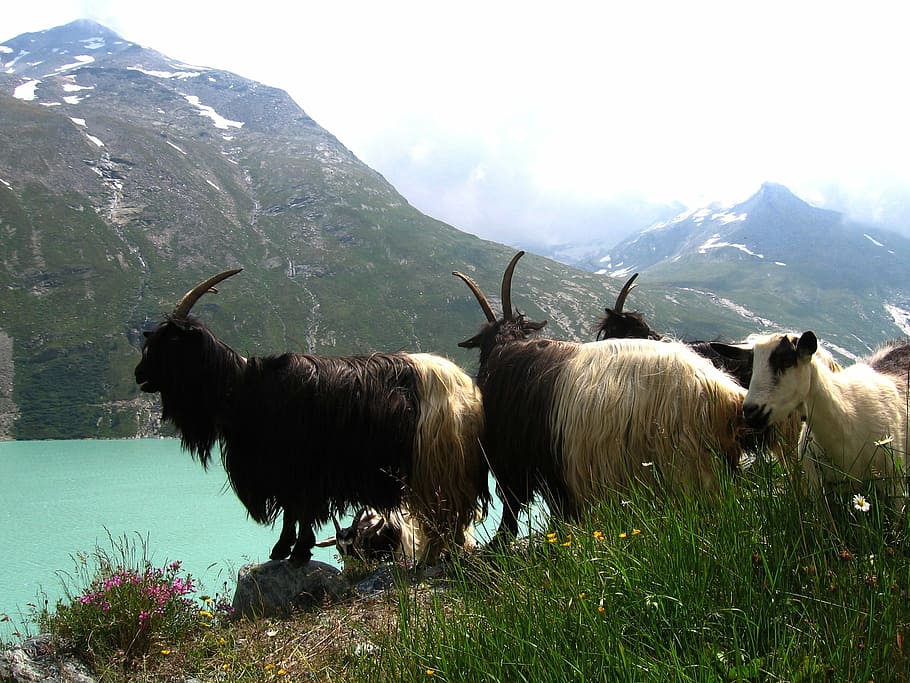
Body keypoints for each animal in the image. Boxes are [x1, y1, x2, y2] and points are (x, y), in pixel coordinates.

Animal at [135, 269, 489, 565]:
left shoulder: (301, 467)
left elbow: (300, 509)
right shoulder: (287, 469)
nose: (139, 375)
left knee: (450, 512)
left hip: (437, 464)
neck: (246, 386)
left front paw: (295, 550)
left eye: (170, 340)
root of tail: (467, 386)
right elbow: (291, 510)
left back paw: (438, 555)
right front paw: (285, 549)